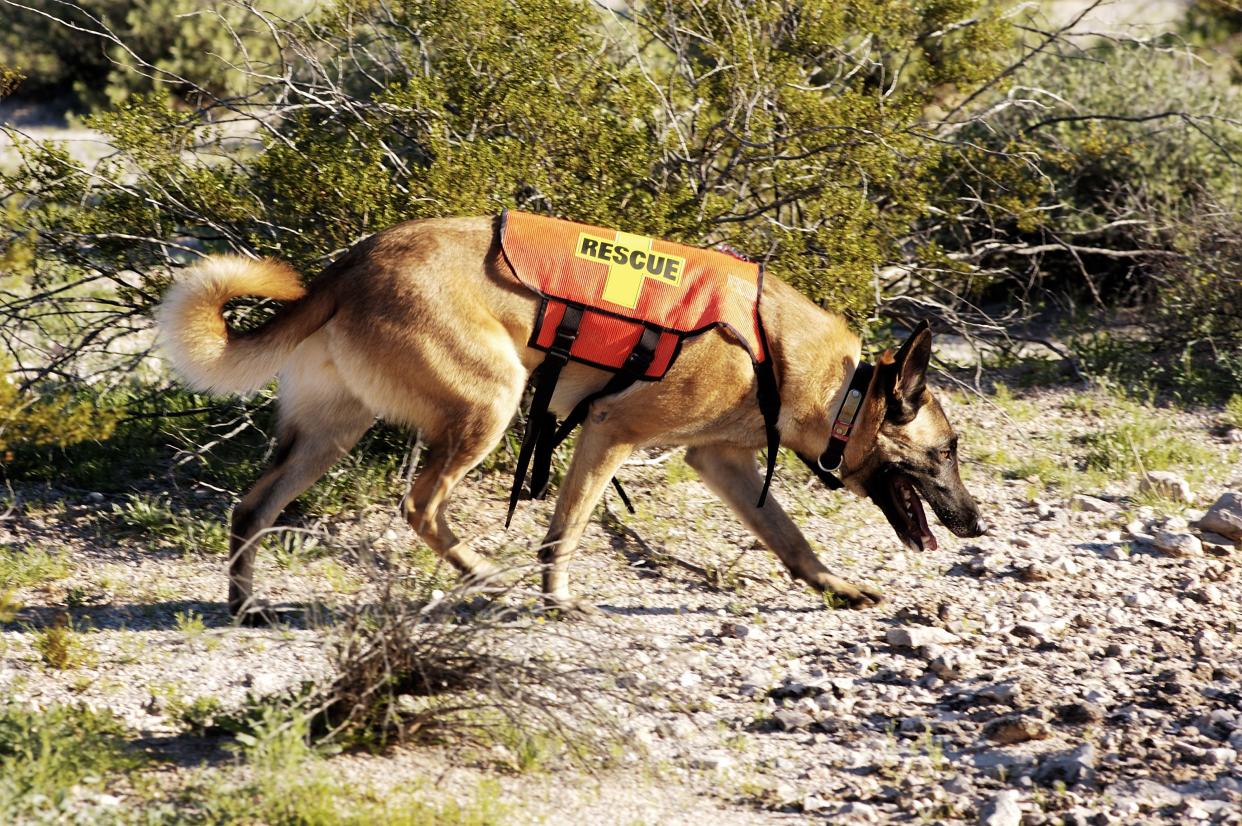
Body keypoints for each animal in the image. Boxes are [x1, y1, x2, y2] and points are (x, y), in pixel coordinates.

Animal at [157, 213, 988, 618]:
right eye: (946, 453)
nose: (979, 525)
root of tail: (350, 265)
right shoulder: (609, 435)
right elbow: (564, 535)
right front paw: (556, 601)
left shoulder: (719, 462)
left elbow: (792, 540)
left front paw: (836, 589)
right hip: (488, 406)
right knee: (421, 505)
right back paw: (482, 575)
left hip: (328, 435)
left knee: (252, 508)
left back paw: (244, 606)